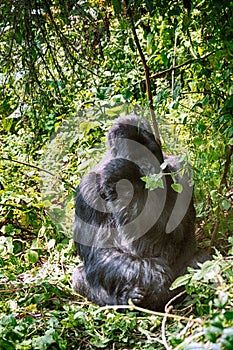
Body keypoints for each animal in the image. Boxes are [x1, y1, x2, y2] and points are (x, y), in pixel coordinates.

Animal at [71, 113, 209, 310]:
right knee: (78, 277)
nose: (149, 171)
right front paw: (155, 278)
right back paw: (124, 300)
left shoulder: (179, 169)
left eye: (149, 156)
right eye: (136, 157)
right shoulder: (87, 189)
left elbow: (178, 233)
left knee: (202, 260)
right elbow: (98, 250)